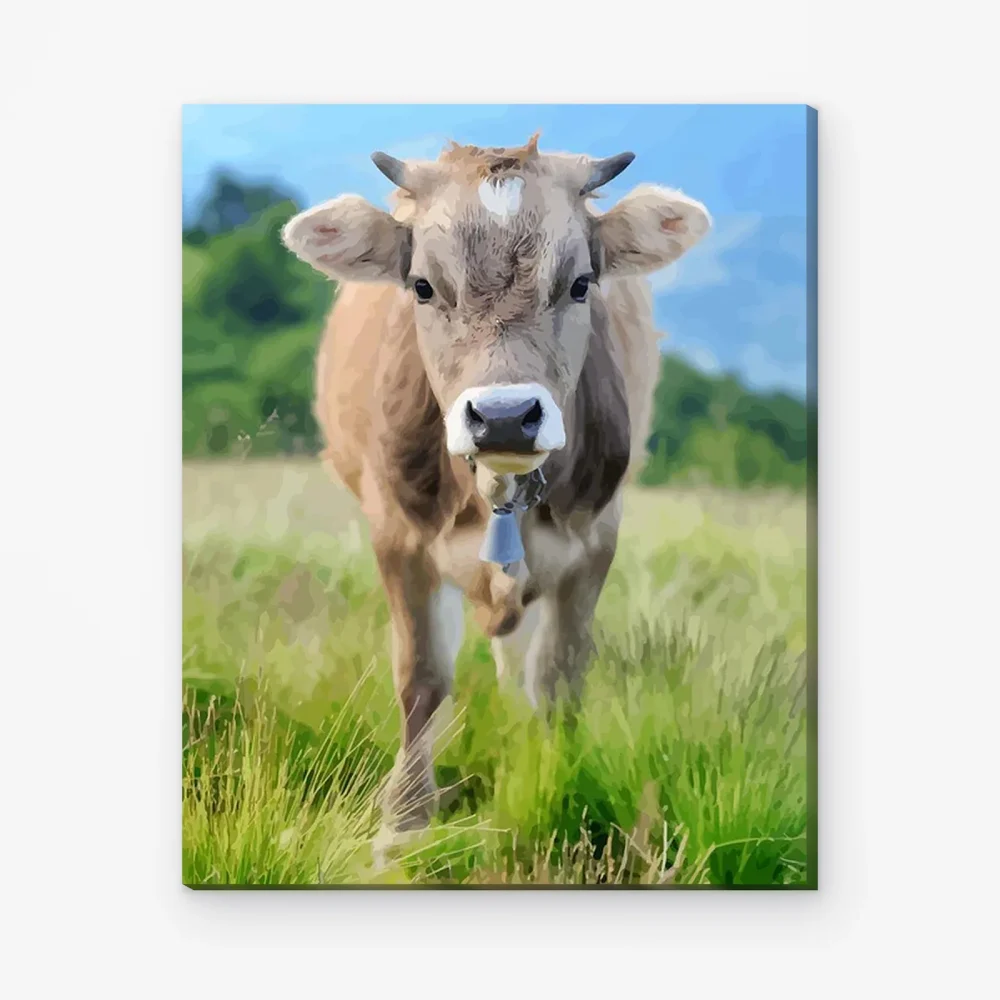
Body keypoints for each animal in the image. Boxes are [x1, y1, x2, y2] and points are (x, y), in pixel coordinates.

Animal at [281, 134, 710, 834]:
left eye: (580, 284)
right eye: (423, 286)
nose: (506, 416)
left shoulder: (595, 543)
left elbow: (560, 677)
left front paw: (552, 780)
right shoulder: (397, 537)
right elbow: (422, 676)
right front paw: (404, 819)